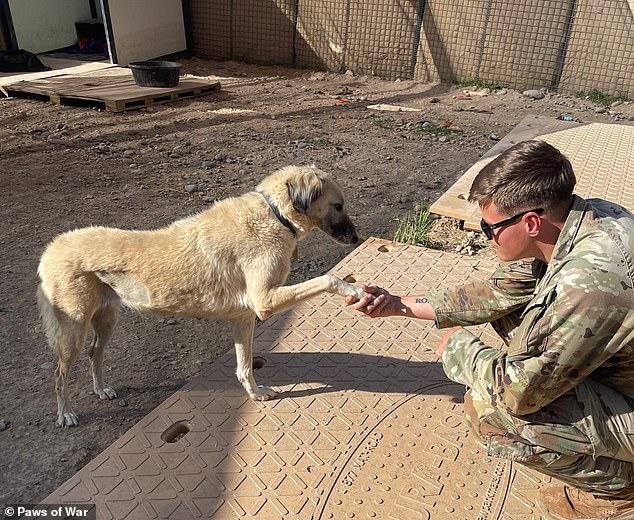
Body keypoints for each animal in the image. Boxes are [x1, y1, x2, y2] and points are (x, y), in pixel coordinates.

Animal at [38, 166, 366, 426]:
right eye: (337, 205)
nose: (356, 239)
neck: (274, 216)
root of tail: (51, 247)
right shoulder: (264, 302)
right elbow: (327, 278)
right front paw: (353, 289)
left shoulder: (244, 317)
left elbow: (244, 367)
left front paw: (255, 394)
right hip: (73, 331)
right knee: (58, 375)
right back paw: (65, 413)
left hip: (106, 319)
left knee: (95, 353)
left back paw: (100, 388)